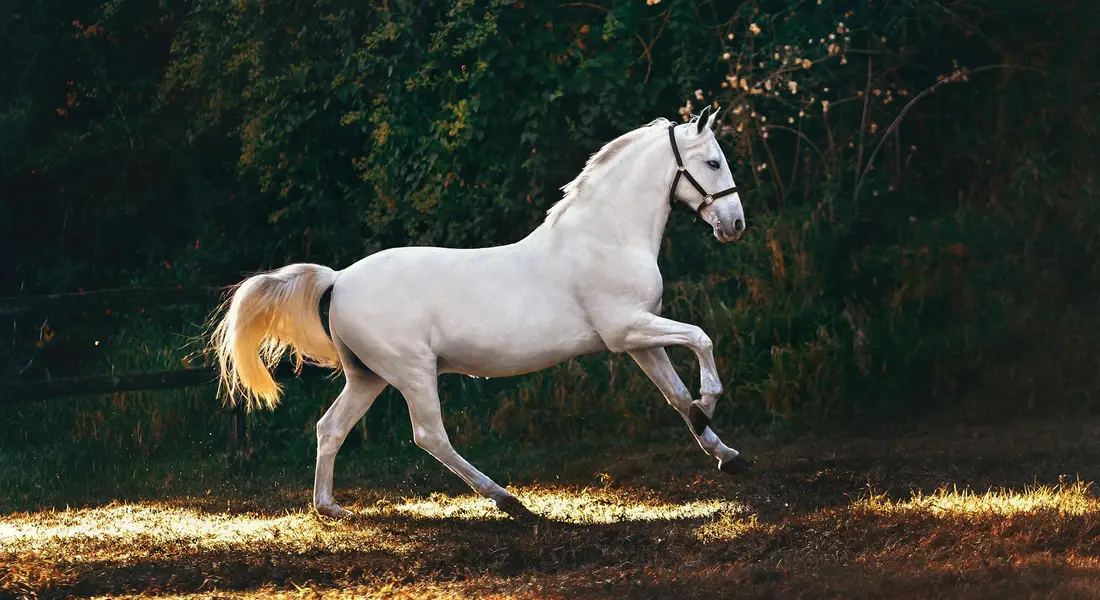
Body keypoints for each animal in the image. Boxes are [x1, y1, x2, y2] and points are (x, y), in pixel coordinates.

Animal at [209, 105, 753, 521]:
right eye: (712, 162)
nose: (735, 225)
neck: (606, 237)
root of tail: (339, 279)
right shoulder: (627, 331)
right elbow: (701, 339)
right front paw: (711, 402)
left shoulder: (640, 340)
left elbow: (676, 396)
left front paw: (726, 454)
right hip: (412, 371)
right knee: (430, 435)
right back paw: (508, 501)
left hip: (368, 376)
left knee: (331, 427)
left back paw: (329, 507)